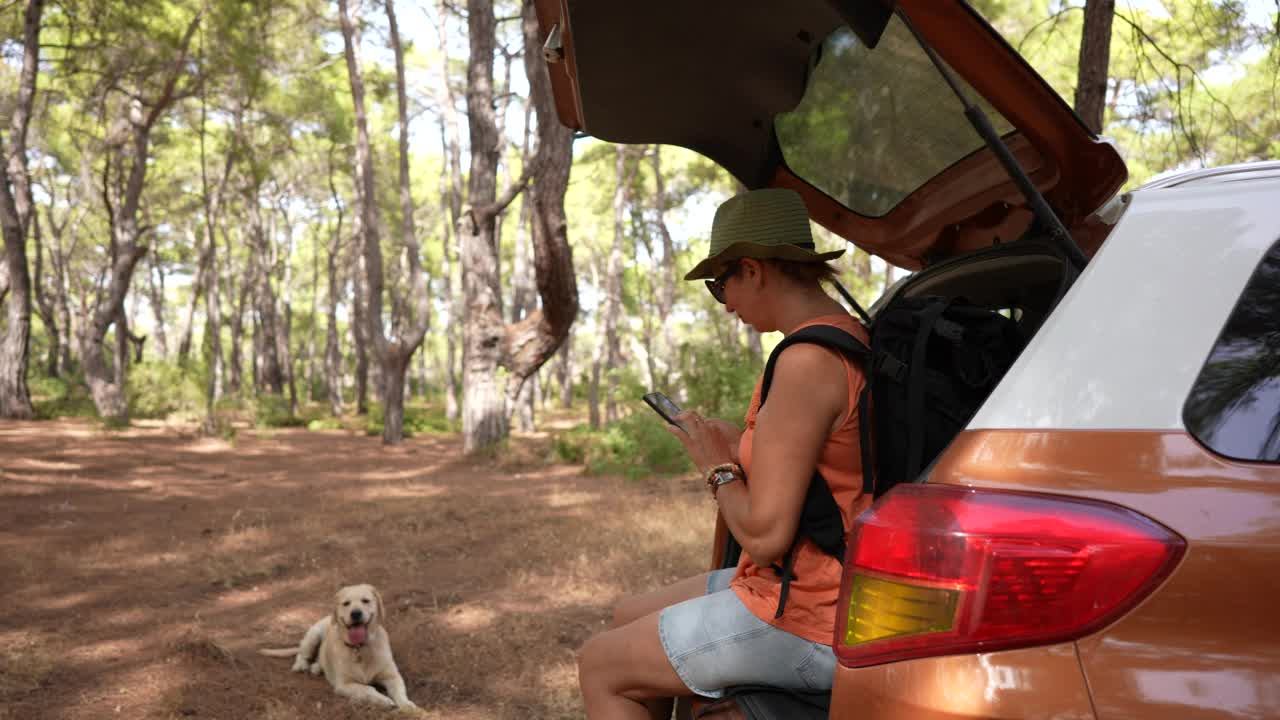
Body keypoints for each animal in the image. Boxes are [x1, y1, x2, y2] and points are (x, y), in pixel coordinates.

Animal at [261, 584, 417, 707]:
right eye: (346, 603)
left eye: (366, 601)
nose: (356, 613)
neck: (359, 648)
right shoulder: (344, 685)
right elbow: (368, 689)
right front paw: (383, 700)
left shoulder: (392, 676)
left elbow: (400, 692)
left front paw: (408, 706)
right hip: (313, 635)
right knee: (302, 654)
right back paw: (301, 666)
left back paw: (316, 667)